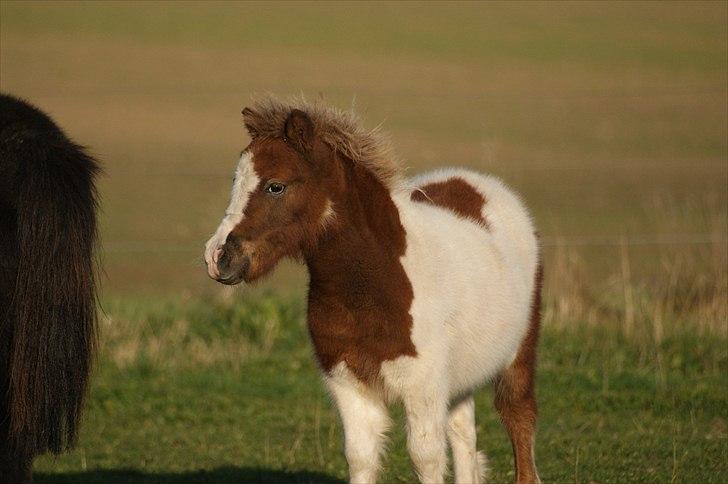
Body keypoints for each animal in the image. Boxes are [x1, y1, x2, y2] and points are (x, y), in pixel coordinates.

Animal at [203, 98, 540, 484]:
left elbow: (426, 458)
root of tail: (482, 184)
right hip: (460, 377)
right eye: (235, 181)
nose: (217, 257)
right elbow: (361, 457)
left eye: (276, 186)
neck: (371, 287)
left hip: (518, 356)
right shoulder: (349, 384)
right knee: (464, 435)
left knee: (518, 421)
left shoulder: (422, 386)